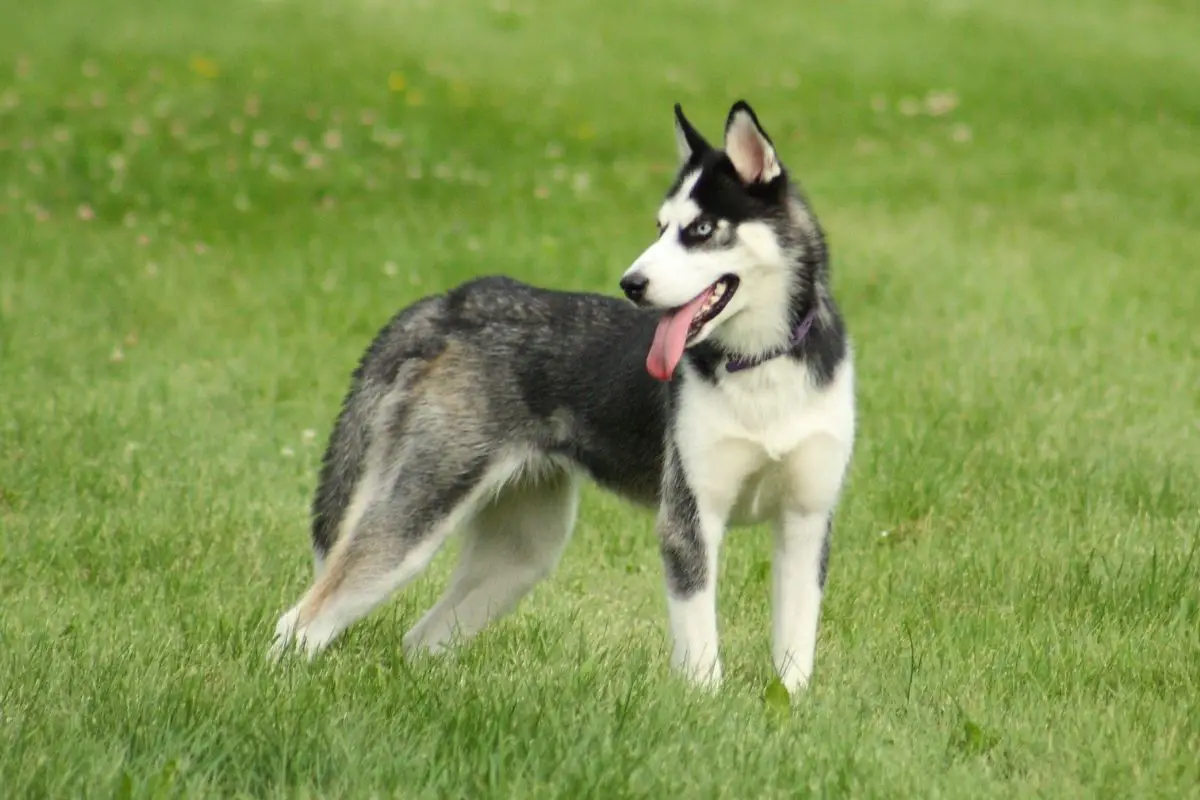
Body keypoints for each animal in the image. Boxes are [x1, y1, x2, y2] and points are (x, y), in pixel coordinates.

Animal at [272, 100, 854, 690]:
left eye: (702, 229)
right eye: (660, 227)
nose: (631, 283)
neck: (760, 366)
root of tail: (451, 303)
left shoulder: (805, 526)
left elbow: (794, 657)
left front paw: (787, 705)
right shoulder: (689, 524)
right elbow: (701, 659)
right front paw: (708, 705)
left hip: (522, 554)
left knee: (419, 639)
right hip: (417, 518)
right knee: (302, 620)